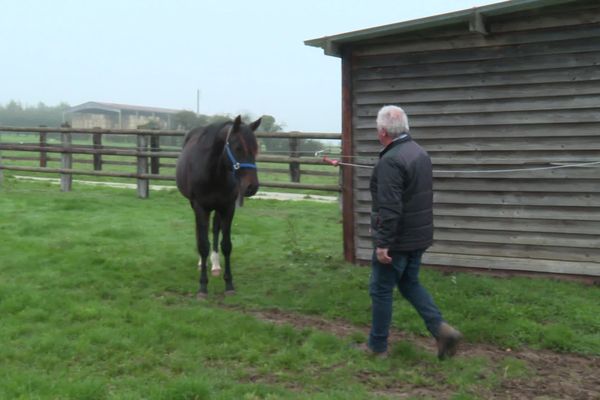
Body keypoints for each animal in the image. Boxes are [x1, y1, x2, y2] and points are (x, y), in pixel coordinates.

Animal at [175, 115, 262, 296]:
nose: (252, 187)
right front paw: (202, 286)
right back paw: (202, 262)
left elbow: (226, 245)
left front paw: (229, 284)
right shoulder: (200, 207)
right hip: (196, 206)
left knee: (215, 230)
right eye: (238, 148)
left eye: (256, 149)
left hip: (217, 208)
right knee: (200, 232)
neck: (213, 172)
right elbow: (203, 244)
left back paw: (215, 265)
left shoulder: (227, 207)